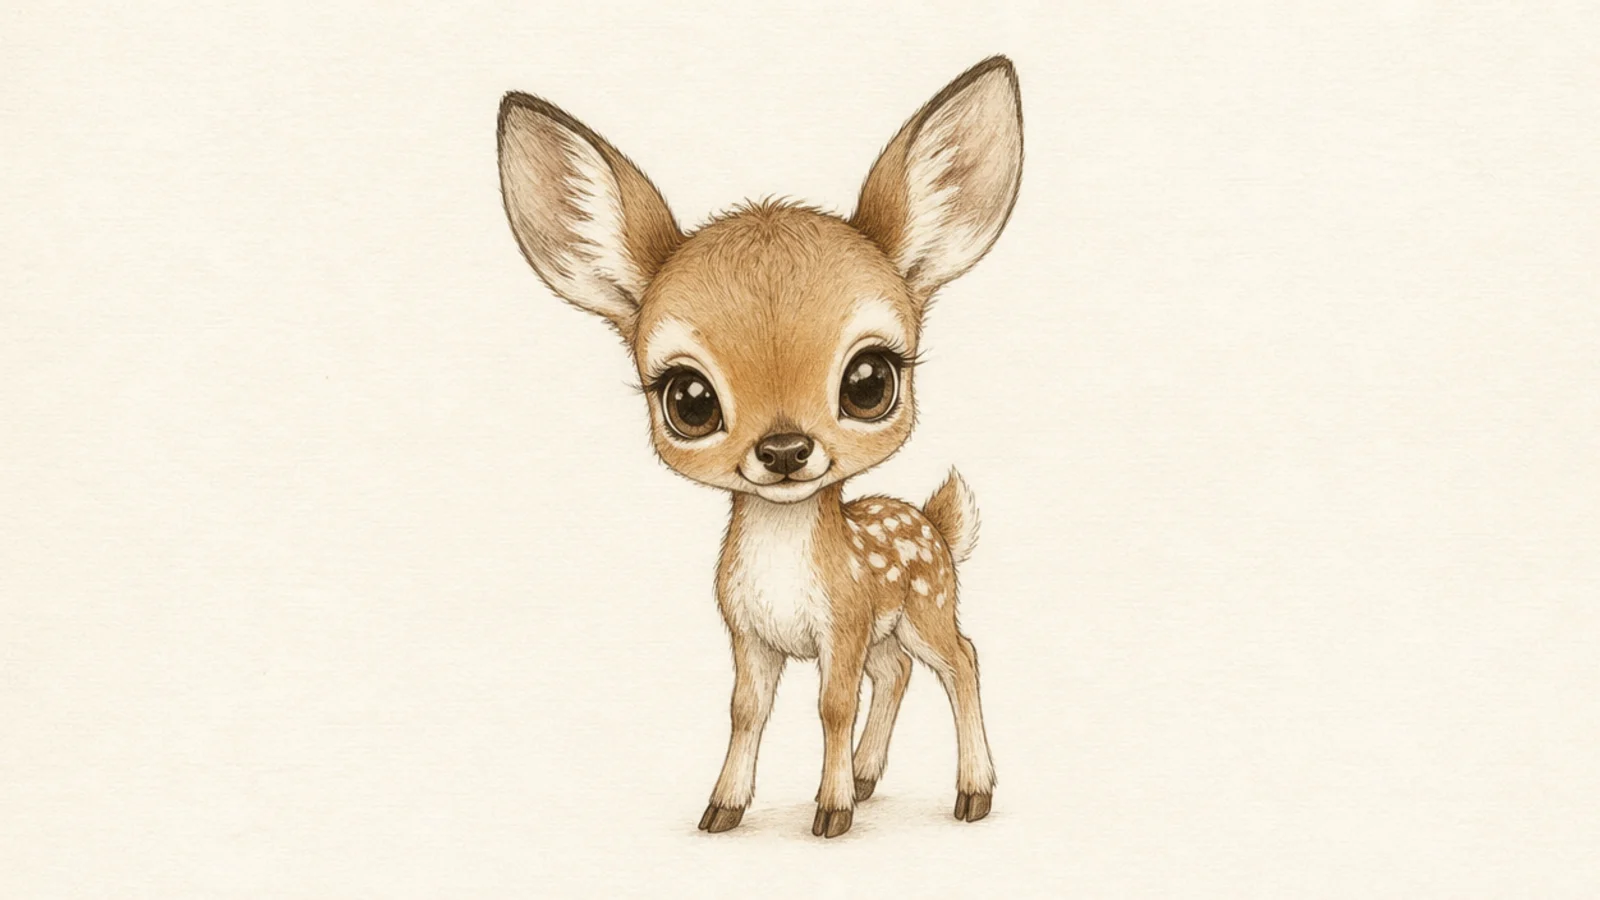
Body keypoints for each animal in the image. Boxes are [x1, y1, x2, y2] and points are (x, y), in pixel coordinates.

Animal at [496, 56, 1023, 839]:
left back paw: (972, 793)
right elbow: (747, 708)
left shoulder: (842, 622)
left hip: (926, 605)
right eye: (688, 399)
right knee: (897, 671)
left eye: (870, 381)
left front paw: (829, 813)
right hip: (889, 628)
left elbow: (831, 706)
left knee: (962, 659)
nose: (783, 450)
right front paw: (724, 808)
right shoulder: (751, 632)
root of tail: (934, 522)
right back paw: (870, 777)